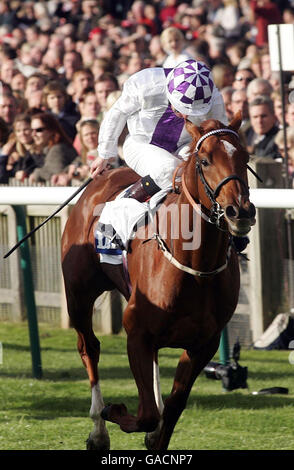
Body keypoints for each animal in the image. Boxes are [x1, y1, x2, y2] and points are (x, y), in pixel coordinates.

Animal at [61, 114, 255, 452]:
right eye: (205, 160)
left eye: (244, 158)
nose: (240, 211)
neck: (196, 265)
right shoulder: (137, 330)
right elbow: (149, 415)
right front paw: (114, 411)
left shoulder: (202, 344)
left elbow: (171, 410)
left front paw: (155, 432)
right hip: (79, 294)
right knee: (89, 348)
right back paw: (98, 431)